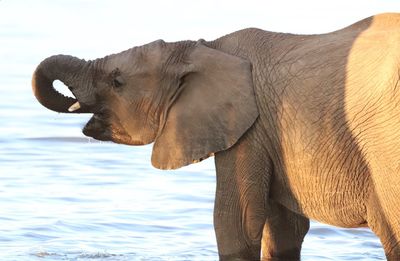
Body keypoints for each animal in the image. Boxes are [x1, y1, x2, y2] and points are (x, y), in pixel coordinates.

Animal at [32, 12, 400, 260]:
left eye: (117, 81)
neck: (204, 48)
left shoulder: (249, 129)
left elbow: (235, 224)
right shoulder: (270, 133)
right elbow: (284, 231)